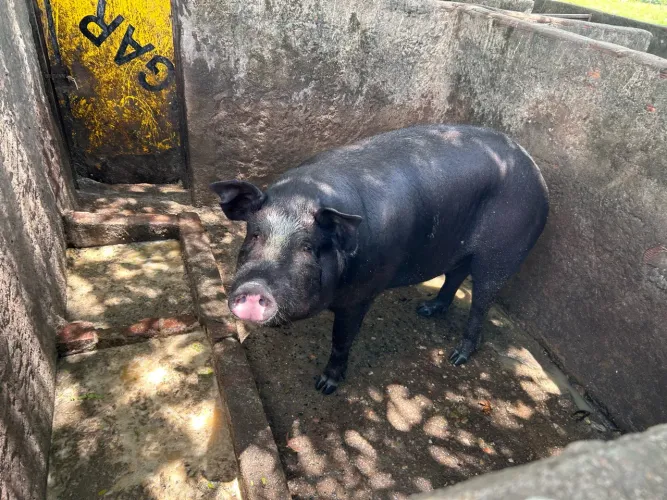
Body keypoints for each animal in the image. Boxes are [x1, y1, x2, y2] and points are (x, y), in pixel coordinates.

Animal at [210, 124, 549, 394]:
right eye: (254, 235)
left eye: (307, 247)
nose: (254, 288)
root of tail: (535, 170)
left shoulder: (361, 295)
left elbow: (341, 340)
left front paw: (325, 386)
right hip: (460, 248)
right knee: (454, 275)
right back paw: (426, 310)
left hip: (505, 252)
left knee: (481, 301)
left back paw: (457, 357)